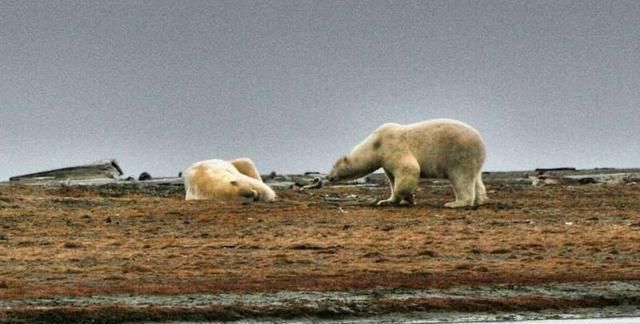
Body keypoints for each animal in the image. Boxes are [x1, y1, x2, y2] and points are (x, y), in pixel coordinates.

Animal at [328, 119, 488, 208]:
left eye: (333, 167)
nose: (328, 177)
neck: (376, 144)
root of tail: (481, 141)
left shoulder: (393, 147)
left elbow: (409, 168)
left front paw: (407, 198)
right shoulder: (386, 161)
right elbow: (392, 179)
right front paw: (387, 201)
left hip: (459, 154)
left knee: (461, 178)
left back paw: (456, 203)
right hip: (472, 159)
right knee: (476, 178)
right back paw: (480, 200)